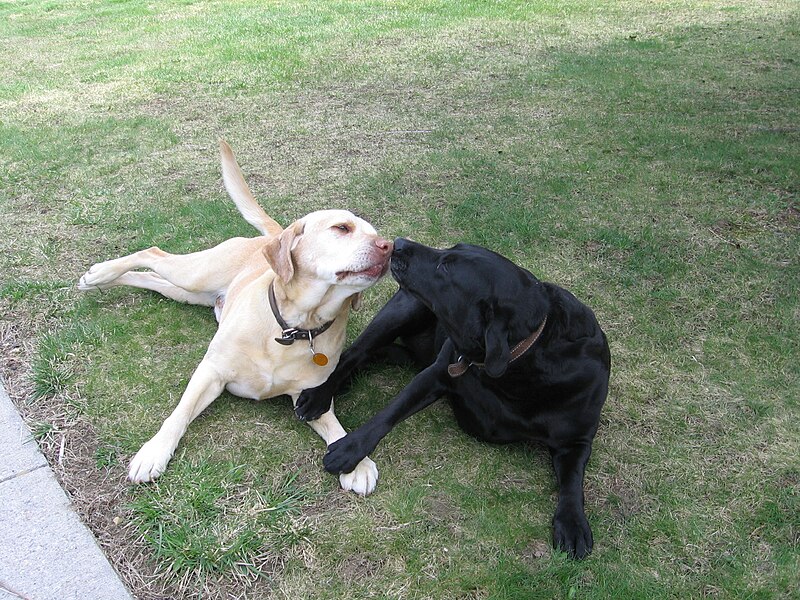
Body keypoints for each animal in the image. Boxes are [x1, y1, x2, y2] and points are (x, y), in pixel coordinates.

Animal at [79, 142, 392, 496]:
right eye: (342, 228)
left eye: (376, 234)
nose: (389, 246)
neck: (293, 328)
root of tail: (271, 236)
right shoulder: (211, 372)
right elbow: (179, 414)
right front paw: (154, 452)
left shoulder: (309, 396)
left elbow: (337, 428)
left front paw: (357, 462)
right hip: (195, 275)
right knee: (152, 253)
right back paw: (99, 274)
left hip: (185, 291)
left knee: (149, 277)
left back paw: (101, 280)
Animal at [296, 238, 612, 556]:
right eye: (451, 249)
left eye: (446, 267)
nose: (398, 243)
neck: (519, 363)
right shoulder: (437, 373)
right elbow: (389, 413)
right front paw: (349, 449)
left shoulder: (577, 439)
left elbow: (573, 482)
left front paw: (572, 523)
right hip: (403, 310)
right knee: (355, 353)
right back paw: (319, 395)